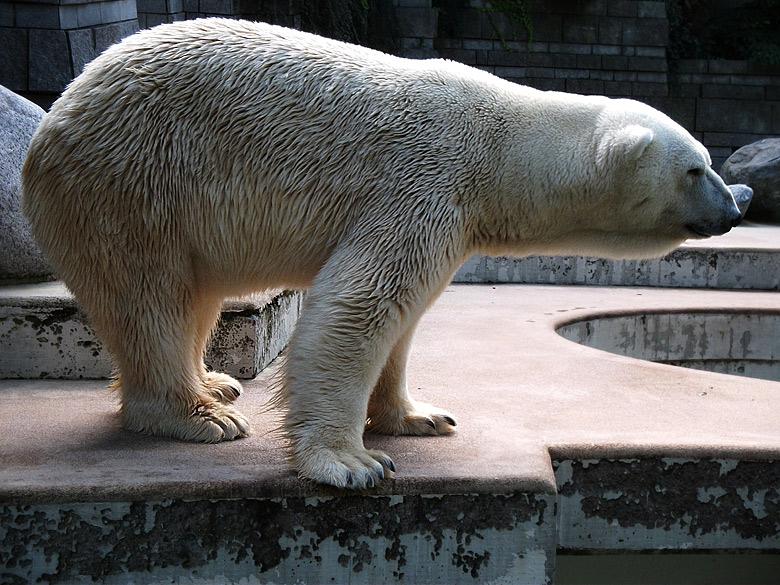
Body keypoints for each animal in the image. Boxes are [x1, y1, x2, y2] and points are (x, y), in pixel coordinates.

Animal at [21, 18, 748, 486]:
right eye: (696, 168)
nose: (737, 203)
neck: (500, 147)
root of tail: (58, 113)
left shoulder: (451, 217)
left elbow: (403, 318)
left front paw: (418, 415)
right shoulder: (421, 182)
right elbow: (359, 306)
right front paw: (352, 461)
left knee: (190, 299)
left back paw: (216, 381)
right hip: (131, 186)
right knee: (152, 300)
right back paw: (200, 413)